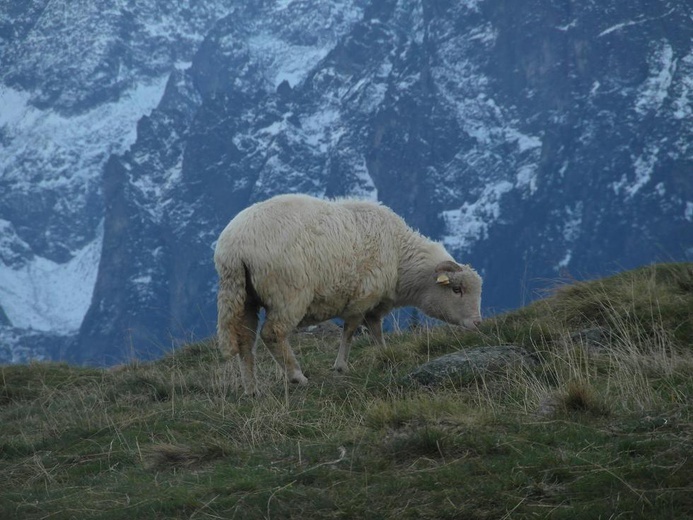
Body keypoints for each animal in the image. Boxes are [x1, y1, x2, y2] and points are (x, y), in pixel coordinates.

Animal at [212, 194, 482, 394]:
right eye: (456, 289)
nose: (478, 323)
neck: (399, 257)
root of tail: (234, 248)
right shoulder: (363, 296)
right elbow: (351, 331)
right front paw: (341, 366)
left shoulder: (373, 302)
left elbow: (374, 327)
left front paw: (384, 353)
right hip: (289, 295)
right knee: (272, 334)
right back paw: (297, 376)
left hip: (244, 297)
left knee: (245, 341)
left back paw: (252, 389)